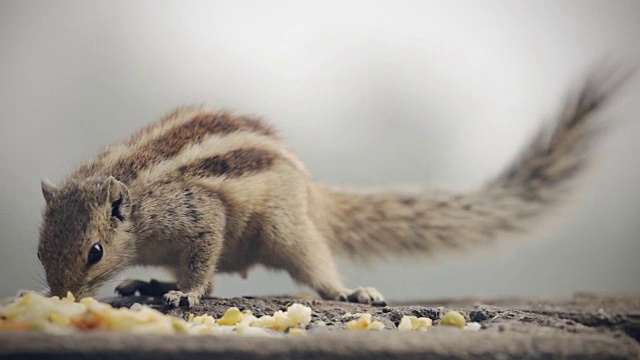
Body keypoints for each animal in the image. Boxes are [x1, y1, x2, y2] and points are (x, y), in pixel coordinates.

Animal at [37, 67, 632, 306]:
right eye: (40, 252)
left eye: (94, 252)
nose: (62, 296)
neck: (137, 201)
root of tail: (312, 193)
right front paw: (165, 286)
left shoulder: (197, 212)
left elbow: (203, 259)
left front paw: (185, 293)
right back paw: (149, 283)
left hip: (287, 229)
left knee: (315, 266)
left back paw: (348, 292)